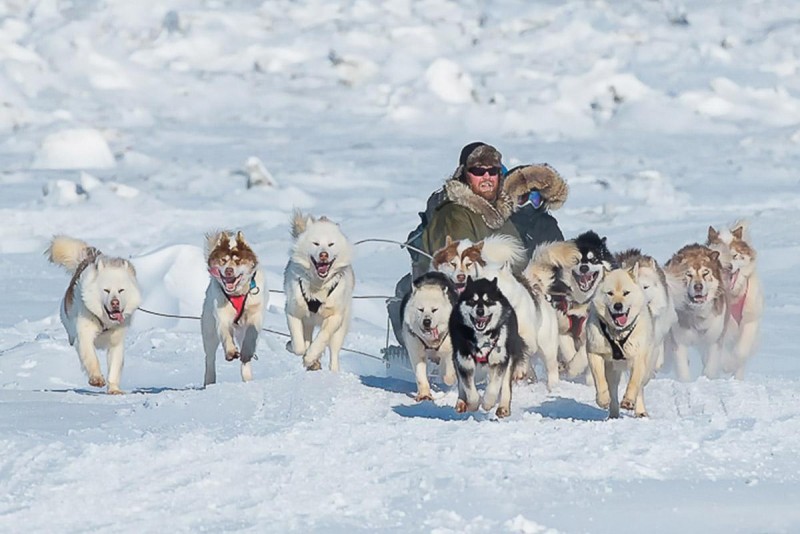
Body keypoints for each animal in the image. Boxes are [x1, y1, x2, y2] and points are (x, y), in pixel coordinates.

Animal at [202, 232, 268, 388]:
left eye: (238, 261)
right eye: (223, 260)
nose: (229, 270)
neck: (238, 293)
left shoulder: (255, 315)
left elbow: (251, 336)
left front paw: (246, 352)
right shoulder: (222, 317)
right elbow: (226, 334)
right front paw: (231, 351)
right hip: (209, 332)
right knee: (210, 357)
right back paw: (210, 381)